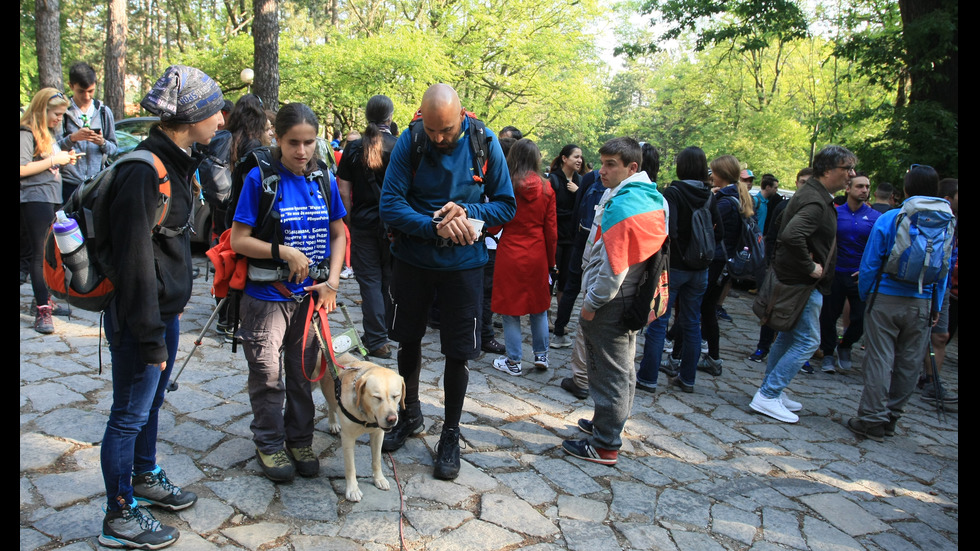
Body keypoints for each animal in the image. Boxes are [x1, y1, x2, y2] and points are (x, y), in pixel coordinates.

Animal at [316, 356, 404, 502]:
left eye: (396, 396)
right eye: (377, 397)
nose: (392, 419)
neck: (366, 415)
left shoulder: (378, 434)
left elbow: (377, 460)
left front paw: (379, 479)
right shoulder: (348, 439)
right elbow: (350, 468)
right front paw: (353, 490)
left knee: (330, 402)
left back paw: (333, 423)